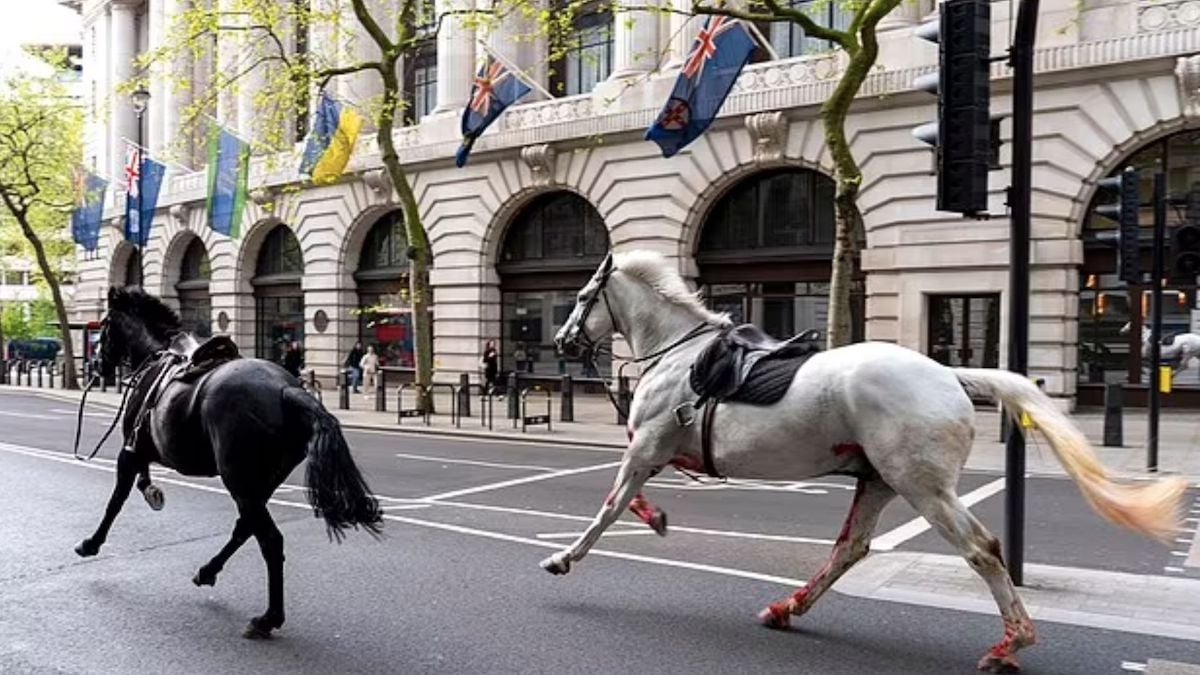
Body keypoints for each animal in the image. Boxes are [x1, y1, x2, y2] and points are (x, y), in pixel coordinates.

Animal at [78, 283, 379, 634]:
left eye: (104, 325)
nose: (96, 366)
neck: (156, 356)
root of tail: (287, 390)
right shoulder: (142, 451)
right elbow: (140, 483)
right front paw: (152, 492)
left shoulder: (131, 450)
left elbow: (115, 501)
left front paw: (92, 542)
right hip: (258, 484)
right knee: (245, 528)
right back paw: (208, 572)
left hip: (240, 481)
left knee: (269, 540)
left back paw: (268, 618)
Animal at [549, 251, 1185, 667]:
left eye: (581, 297)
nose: (561, 341)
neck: (679, 355)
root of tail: (952, 375)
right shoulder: (656, 449)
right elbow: (630, 500)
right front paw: (655, 518)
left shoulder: (646, 446)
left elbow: (611, 505)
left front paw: (565, 558)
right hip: (879, 479)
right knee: (850, 548)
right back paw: (786, 608)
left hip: (921, 484)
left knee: (981, 549)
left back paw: (1012, 643)